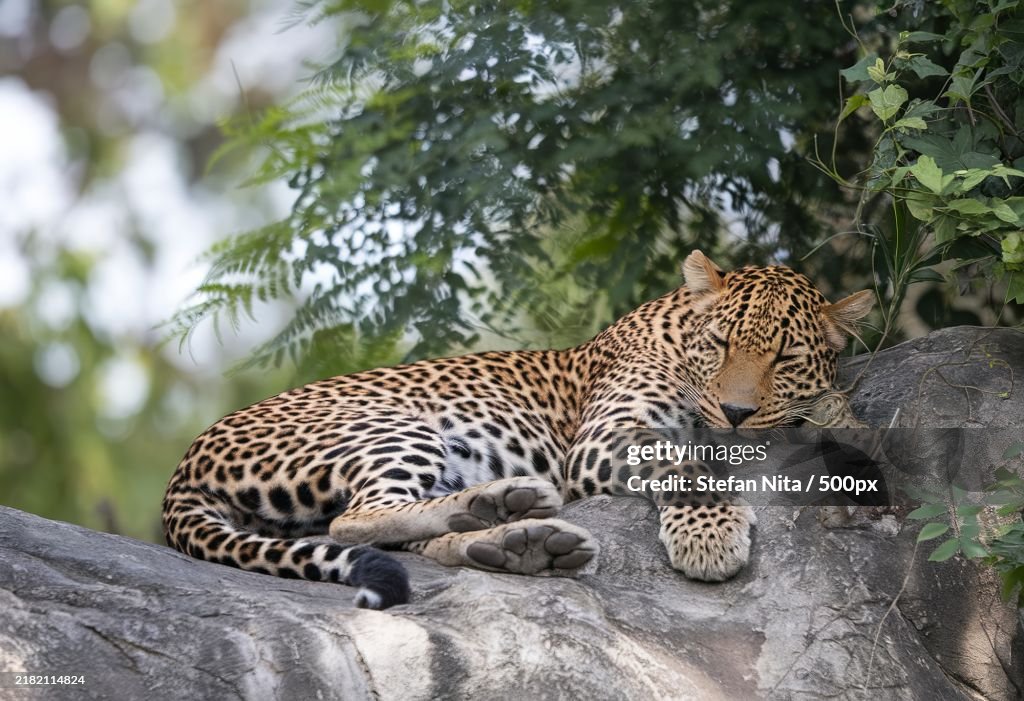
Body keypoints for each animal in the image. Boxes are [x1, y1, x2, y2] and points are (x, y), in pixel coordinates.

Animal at [162, 250, 874, 609]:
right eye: (722, 343)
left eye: (784, 357)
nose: (736, 413)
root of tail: (182, 471)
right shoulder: (604, 438)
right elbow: (681, 459)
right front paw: (710, 533)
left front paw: (836, 418)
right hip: (388, 425)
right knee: (356, 520)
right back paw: (500, 508)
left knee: (392, 534)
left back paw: (515, 539)